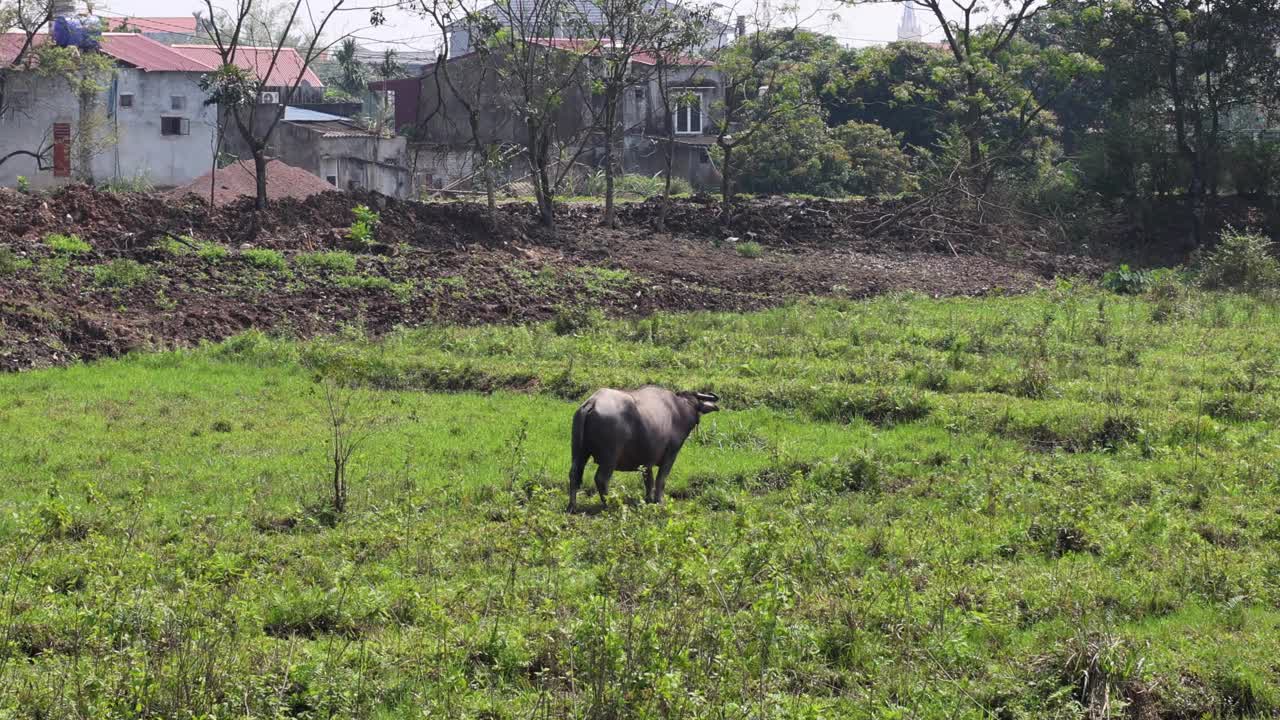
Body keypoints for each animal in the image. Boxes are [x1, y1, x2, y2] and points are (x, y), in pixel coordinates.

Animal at [570, 384, 721, 507]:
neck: (680, 408)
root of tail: (593, 402)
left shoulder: (647, 460)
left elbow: (649, 481)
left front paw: (648, 500)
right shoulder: (671, 453)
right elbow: (661, 479)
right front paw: (659, 501)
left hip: (579, 452)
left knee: (574, 474)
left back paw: (572, 506)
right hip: (610, 457)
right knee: (601, 479)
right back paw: (610, 504)